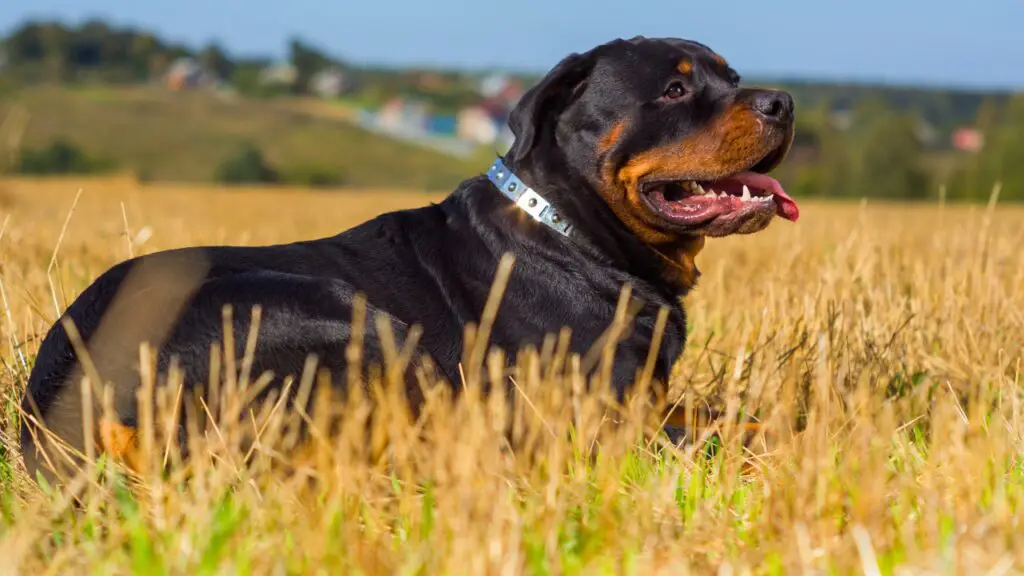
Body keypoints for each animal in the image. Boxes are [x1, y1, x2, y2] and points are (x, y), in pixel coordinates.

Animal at [18, 35, 798, 481]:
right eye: (675, 88)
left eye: (733, 76)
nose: (783, 100)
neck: (574, 234)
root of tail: (73, 399)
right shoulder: (596, 413)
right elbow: (726, 428)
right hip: (353, 320)